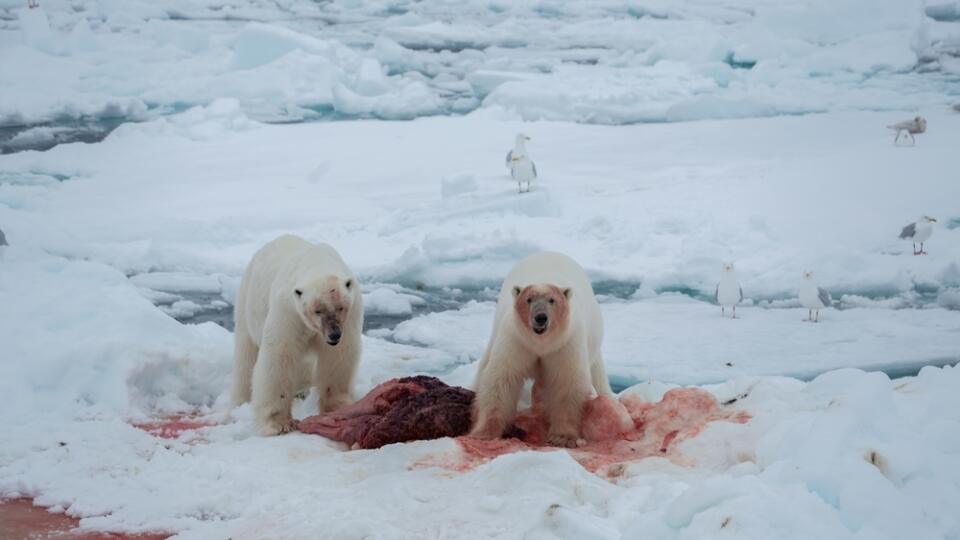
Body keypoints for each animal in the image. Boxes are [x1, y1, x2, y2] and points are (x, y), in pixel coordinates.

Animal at [232, 234, 364, 436]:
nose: (334, 335)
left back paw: (301, 391)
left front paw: (337, 407)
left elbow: (337, 356)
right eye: (318, 310)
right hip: (248, 301)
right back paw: (242, 399)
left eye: (341, 307)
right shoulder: (288, 311)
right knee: (246, 353)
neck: (316, 261)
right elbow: (280, 354)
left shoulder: (350, 314)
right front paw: (279, 424)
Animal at [472, 251, 616, 446]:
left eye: (552, 300)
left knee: (598, 374)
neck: (541, 344)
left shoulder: (566, 343)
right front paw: (484, 433)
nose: (540, 317)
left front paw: (562, 437)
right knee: (485, 365)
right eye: (529, 299)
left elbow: (567, 382)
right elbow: (502, 378)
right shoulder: (516, 339)